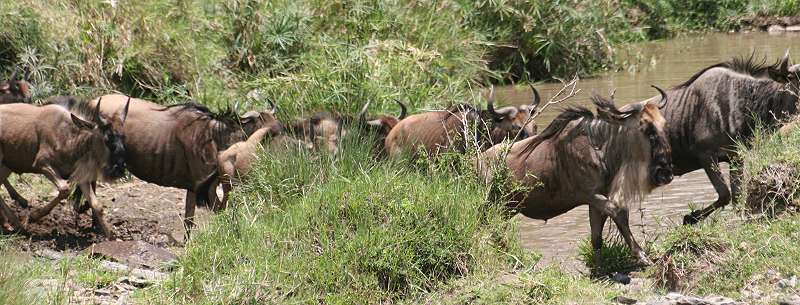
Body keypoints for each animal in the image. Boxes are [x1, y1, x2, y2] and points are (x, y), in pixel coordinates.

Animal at [0, 97, 128, 235]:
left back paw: (12, 222)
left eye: (123, 137)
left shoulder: (80, 176)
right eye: (107, 139)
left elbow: (97, 205)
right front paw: (34, 215)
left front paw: (111, 236)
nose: (120, 169)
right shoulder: (41, 163)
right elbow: (65, 189)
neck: (69, 138)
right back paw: (15, 222)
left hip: (7, 166)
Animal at [478, 85, 672, 264]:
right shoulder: (591, 195)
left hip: (506, 208)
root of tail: (476, 161)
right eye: (646, 127)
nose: (666, 173)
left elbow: (596, 238)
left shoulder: (597, 200)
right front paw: (641, 255)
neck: (599, 146)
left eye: (664, 125)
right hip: (492, 205)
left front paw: (600, 268)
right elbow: (620, 213)